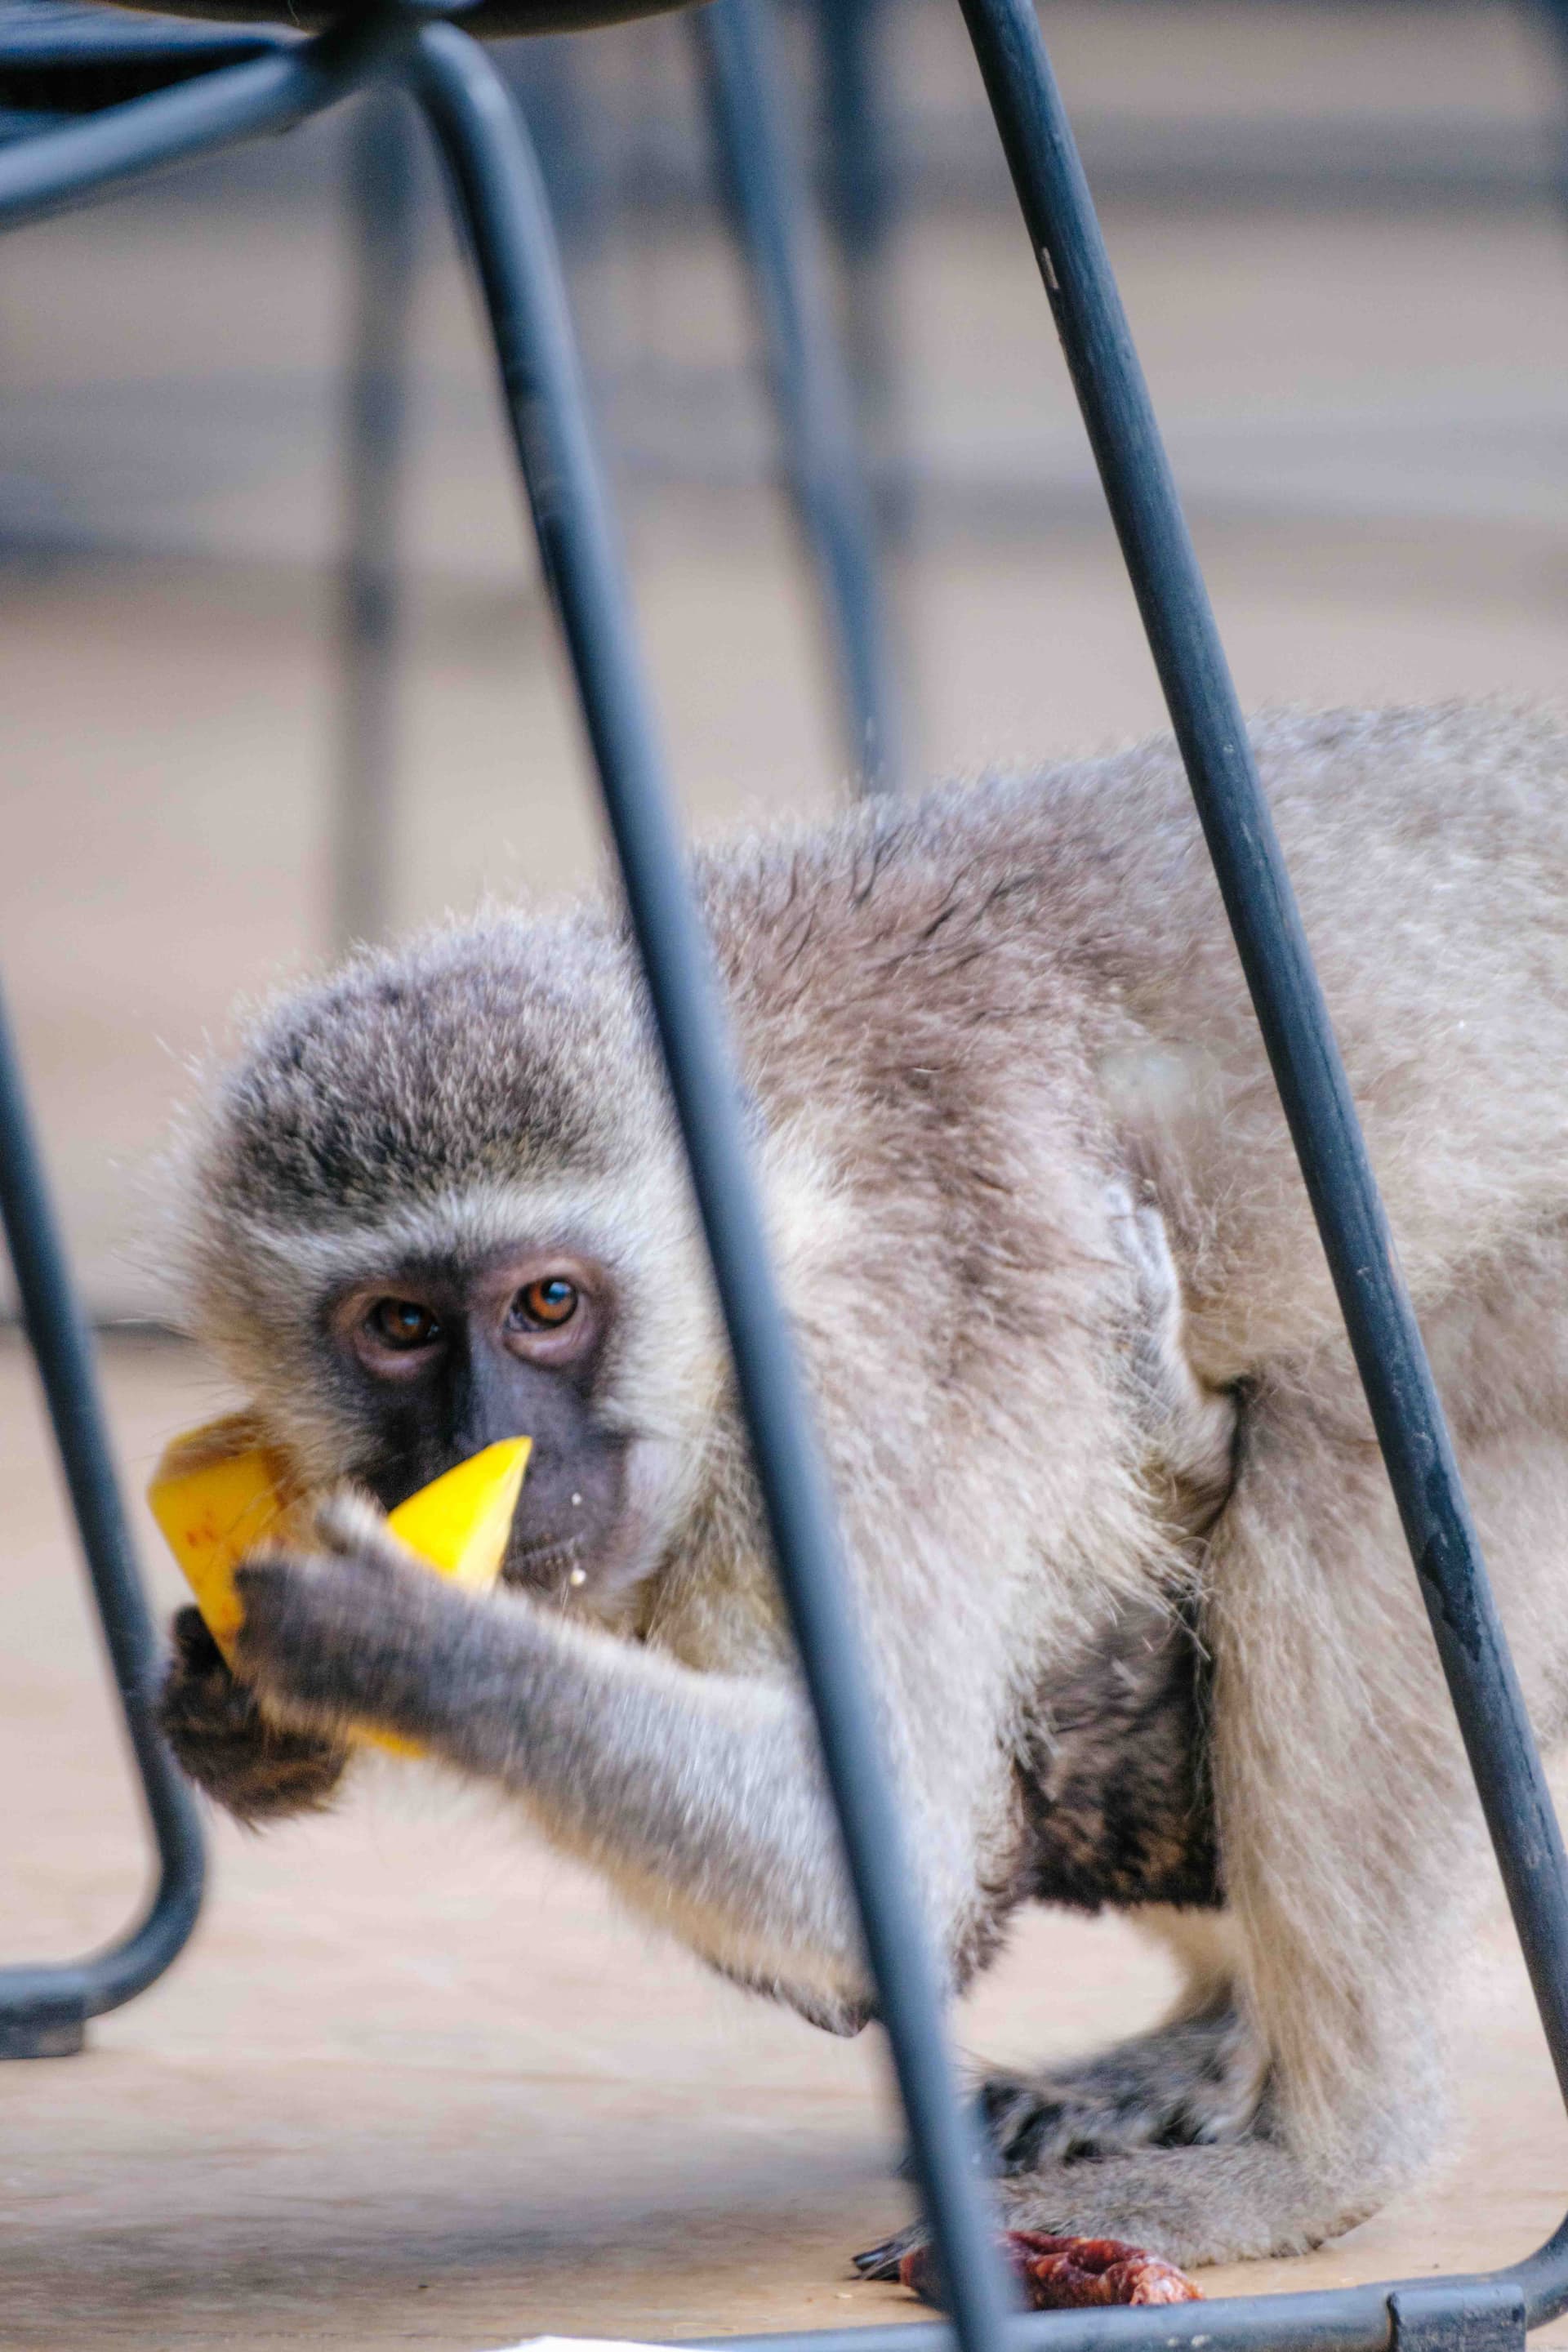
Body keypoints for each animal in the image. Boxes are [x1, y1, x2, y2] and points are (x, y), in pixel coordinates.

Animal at [157, 698, 1568, 2274]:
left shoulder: (866, 1392)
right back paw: (1215, 2037)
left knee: (1353, 1472)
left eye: (547, 1305)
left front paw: (401, 1645)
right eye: (399, 1326)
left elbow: (884, 1867)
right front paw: (234, 1715)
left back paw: (1324, 2159)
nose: (482, 1452)